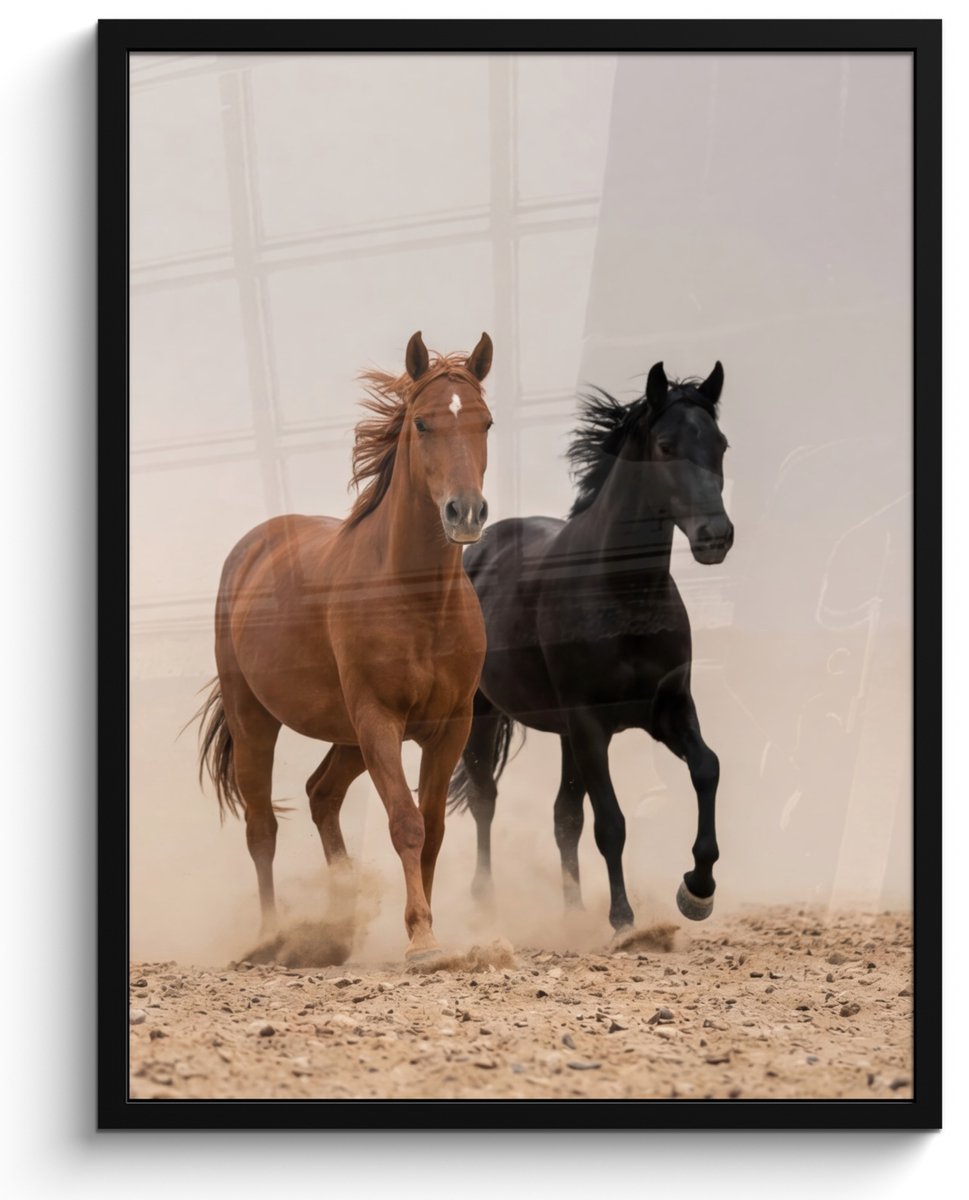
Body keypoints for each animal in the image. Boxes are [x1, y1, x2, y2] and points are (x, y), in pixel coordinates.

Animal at [196, 331, 494, 960]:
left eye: (485, 422)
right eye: (423, 423)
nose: (465, 512)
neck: (415, 598)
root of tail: (252, 548)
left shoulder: (449, 726)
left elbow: (433, 827)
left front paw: (428, 928)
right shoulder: (378, 718)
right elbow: (406, 822)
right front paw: (422, 939)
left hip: (347, 736)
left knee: (321, 795)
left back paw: (336, 926)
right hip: (256, 719)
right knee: (262, 828)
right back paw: (271, 936)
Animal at [447, 360, 733, 932]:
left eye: (721, 443)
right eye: (666, 445)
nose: (716, 535)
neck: (623, 596)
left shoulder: (668, 709)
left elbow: (706, 768)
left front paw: (697, 889)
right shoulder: (589, 724)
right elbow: (611, 822)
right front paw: (623, 920)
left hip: (562, 734)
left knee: (564, 816)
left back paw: (573, 911)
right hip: (486, 714)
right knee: (487, 797)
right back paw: (487, 901)